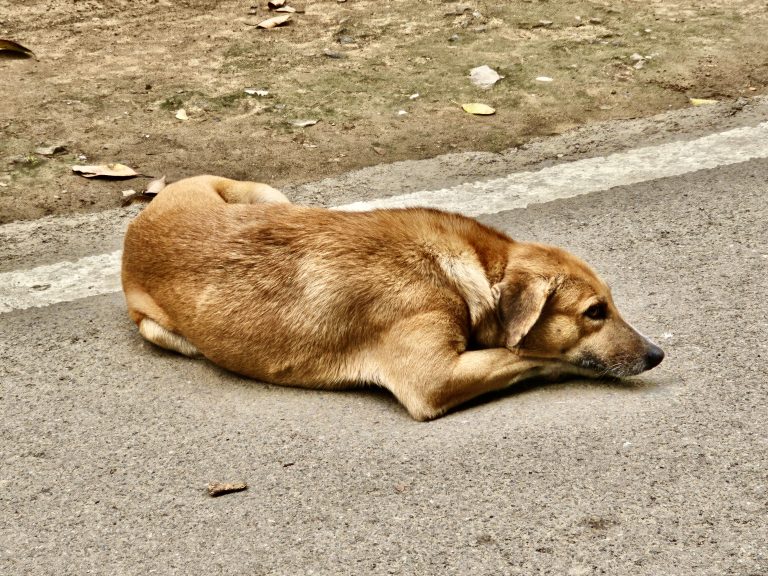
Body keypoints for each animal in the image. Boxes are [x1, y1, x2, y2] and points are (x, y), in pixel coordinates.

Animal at [123, 174, 664, 418]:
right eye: (595, 312)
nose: (657, 354)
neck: (459, 272)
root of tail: (137, 226)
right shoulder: (433, 382)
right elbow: (535, 356)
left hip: (273, 198)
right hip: (162, 333)